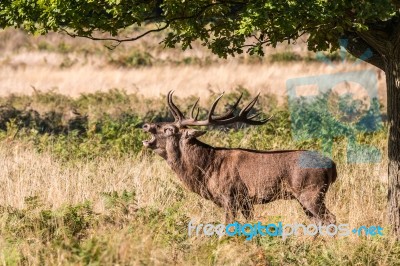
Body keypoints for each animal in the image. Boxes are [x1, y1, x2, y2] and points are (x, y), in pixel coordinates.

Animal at [142, 91, 336, 224]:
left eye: (168, 129)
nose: (146, 125)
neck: (206, 168)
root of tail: (333, 166)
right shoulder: (246, 202)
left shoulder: (230, 196)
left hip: (311, 191)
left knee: (330, 219)